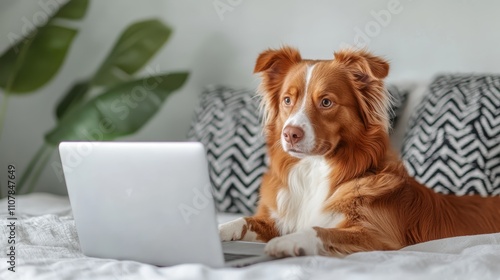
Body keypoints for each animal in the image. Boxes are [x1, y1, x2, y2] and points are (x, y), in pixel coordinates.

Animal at [219, 46, 500, 258]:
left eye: (326, 102)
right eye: (287, 100)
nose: (289, 134)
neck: (314, 168)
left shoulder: (378, 235)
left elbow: (318, 230)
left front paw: (287, 242)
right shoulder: (279, 219)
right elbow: (244, 220)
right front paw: (220, 229)